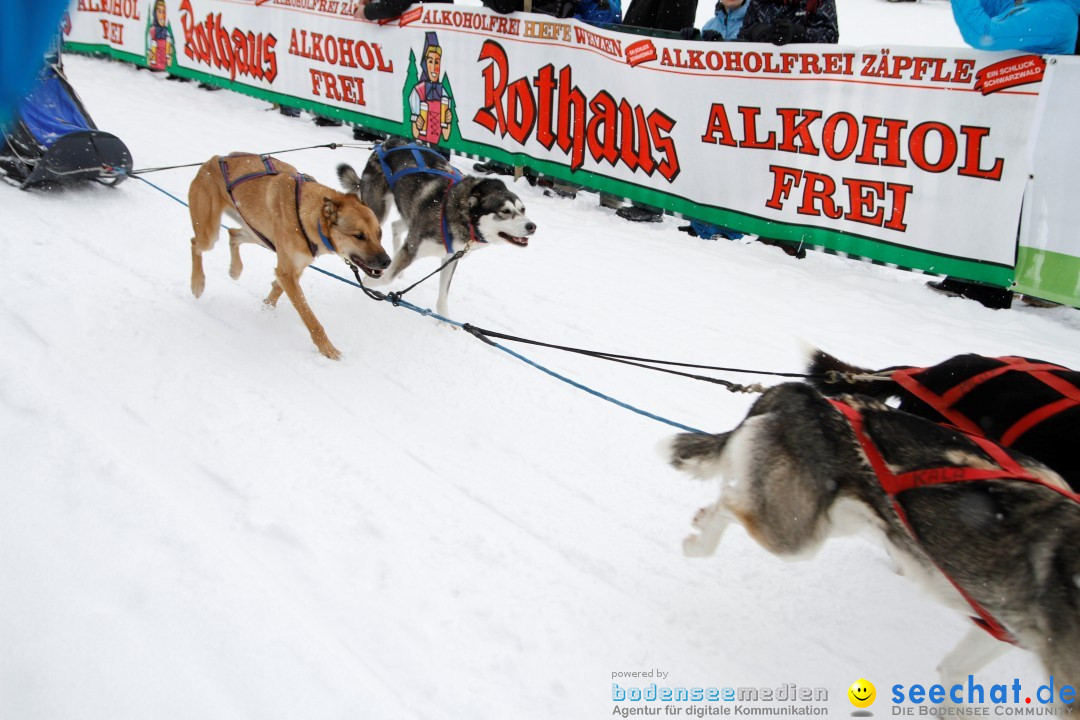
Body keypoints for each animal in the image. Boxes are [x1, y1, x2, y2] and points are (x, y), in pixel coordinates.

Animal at [187, 155, 390, 362]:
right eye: (359, 236)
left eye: (379, 234)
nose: (387, 261)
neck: (306, 216)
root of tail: (212, 160)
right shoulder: (287, 272)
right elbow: (309, 317)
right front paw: (327, 348)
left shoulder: (294, 270)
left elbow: (277, 290)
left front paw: (266, 310)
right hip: (210, 234)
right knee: (195, 243)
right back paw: (197, 283)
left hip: (258, 234)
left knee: (233, 234)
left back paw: (235, 269)